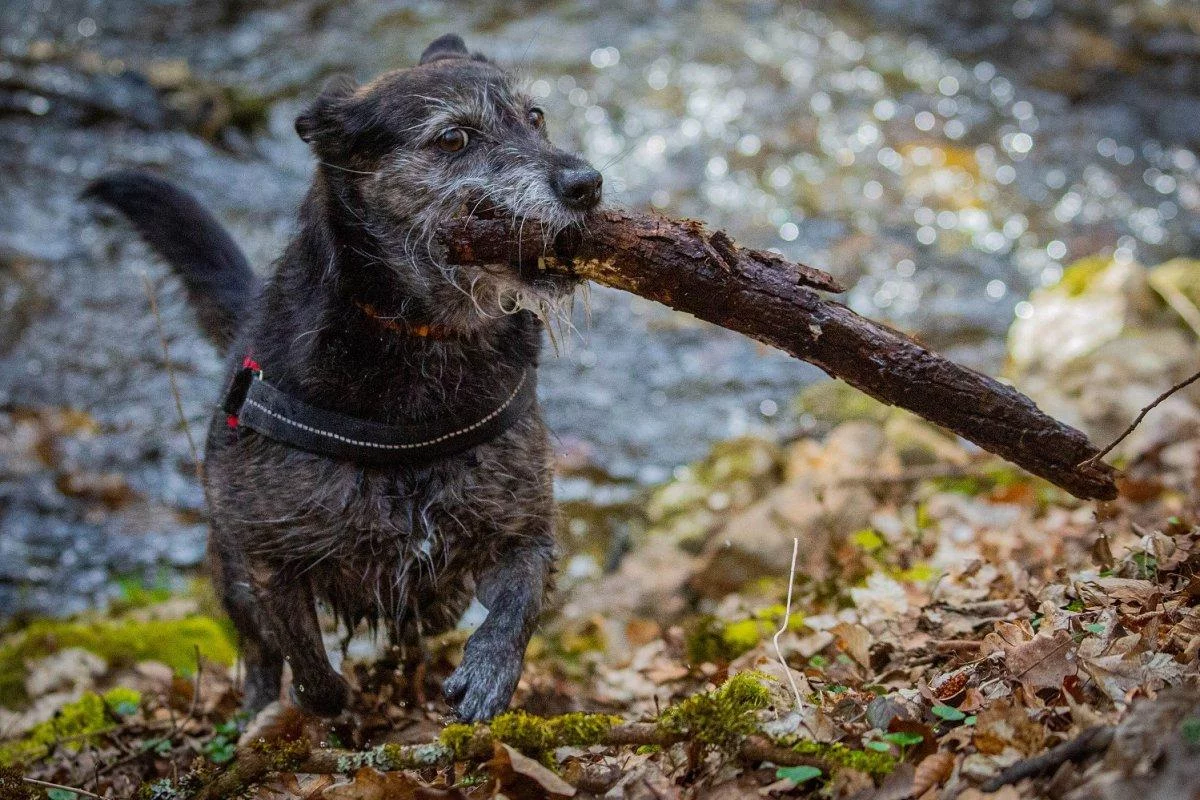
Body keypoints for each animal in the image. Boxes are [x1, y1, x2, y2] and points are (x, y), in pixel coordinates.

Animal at [87, 34, 600, 724]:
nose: (587, 183)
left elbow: (519, 599)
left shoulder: (521, 527)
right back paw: (257, 714)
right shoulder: (268, 562)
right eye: (454, 138)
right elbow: (308, 664)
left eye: (537, 116)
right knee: (258, 655)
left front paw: (489, 671)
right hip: (227, 572)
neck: (423, 344)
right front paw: (331, 706)